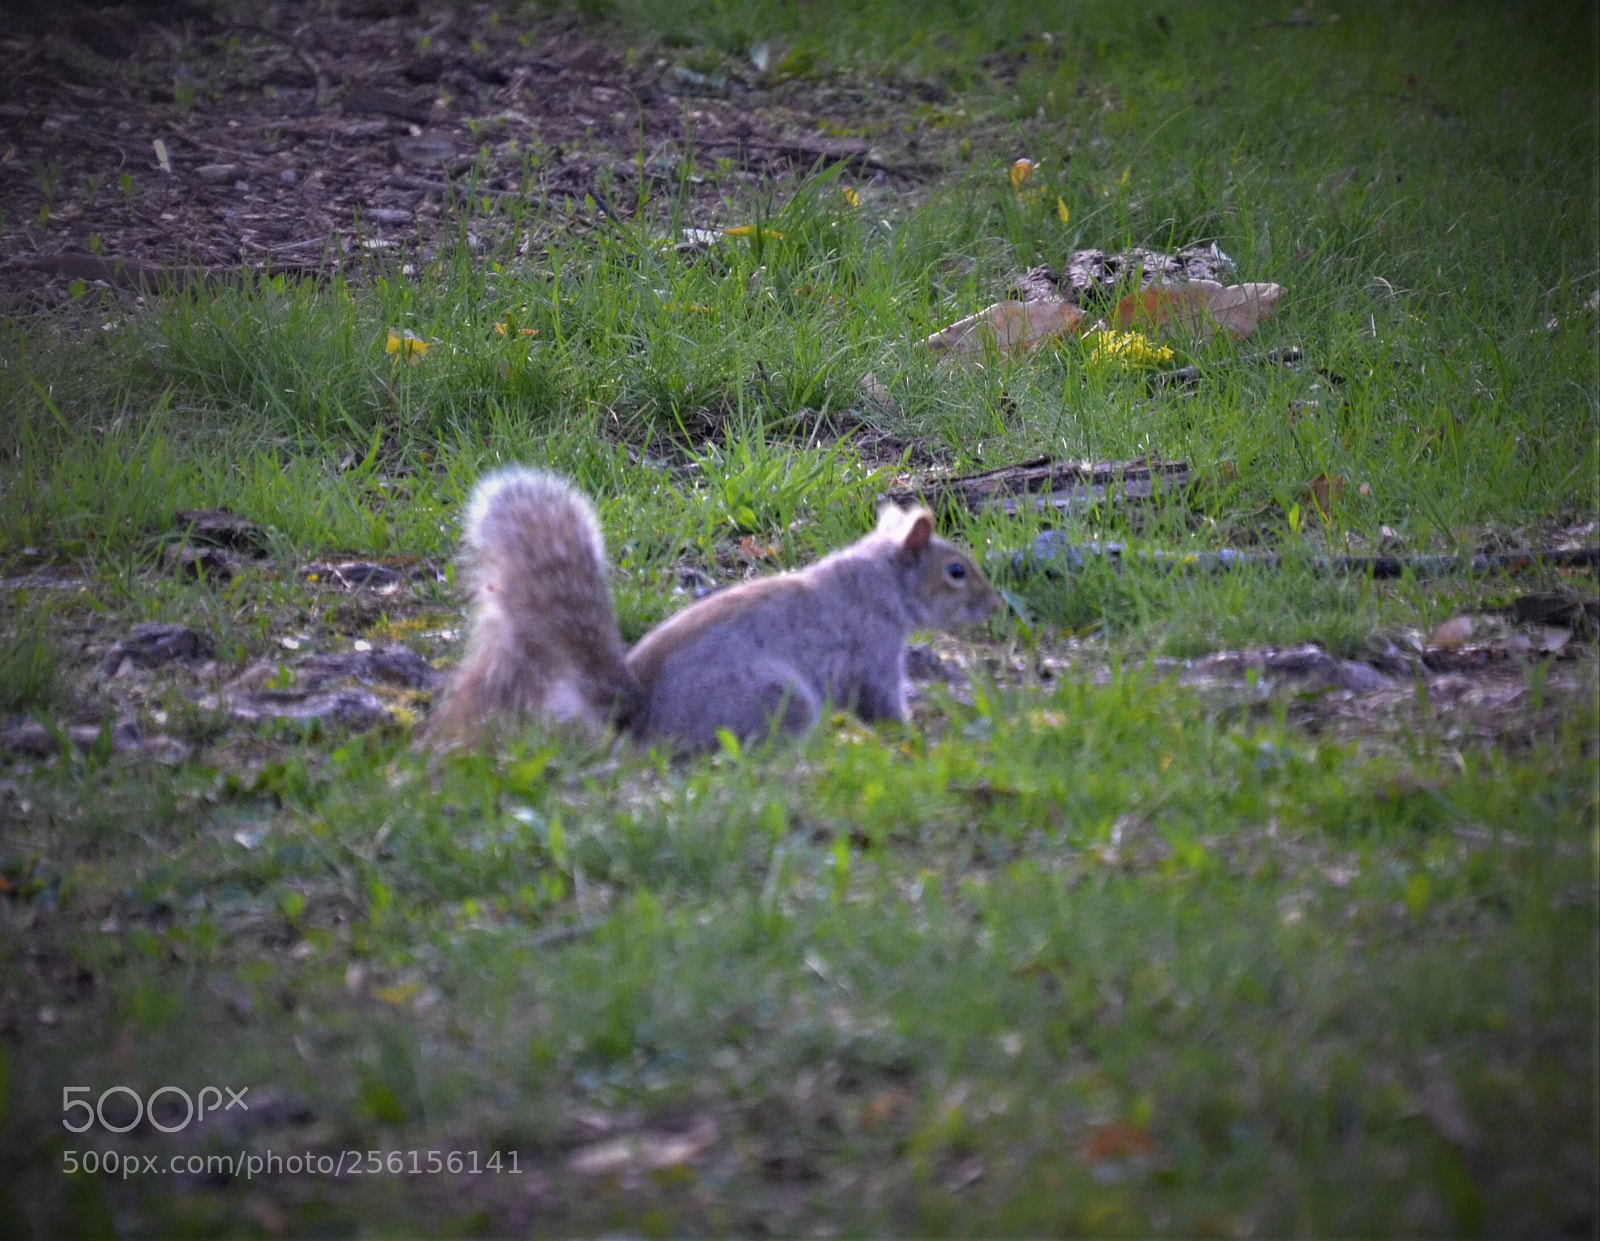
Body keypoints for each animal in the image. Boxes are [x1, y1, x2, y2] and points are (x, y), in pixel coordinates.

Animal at [424, 466, 1002, 751]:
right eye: (956, 571)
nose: (995, 605)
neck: (880, 579)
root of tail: (638, 724)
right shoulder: (871, 648)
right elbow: (881, 704)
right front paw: (918, 735)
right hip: (778, 699)